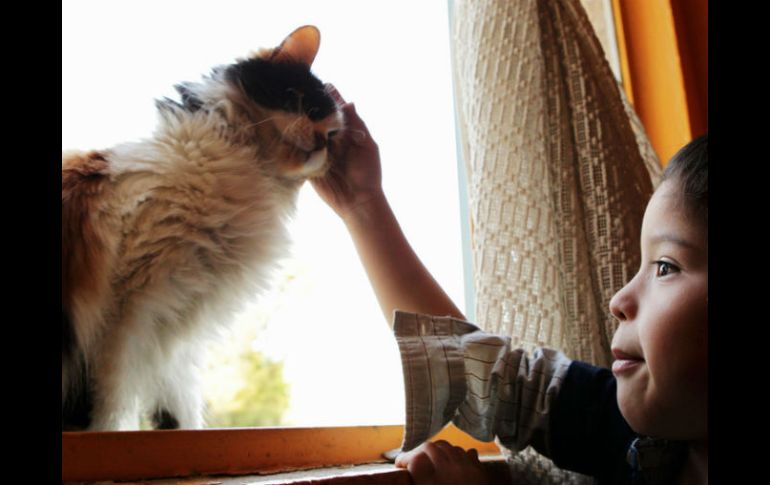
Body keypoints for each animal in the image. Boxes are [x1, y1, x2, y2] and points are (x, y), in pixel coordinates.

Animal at [62, 25, 343, 431]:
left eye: (335, 136)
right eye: (310, 105)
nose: (325, 140)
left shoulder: (172, 326)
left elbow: (177, 409)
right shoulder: (123, 314)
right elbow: (108, 409)